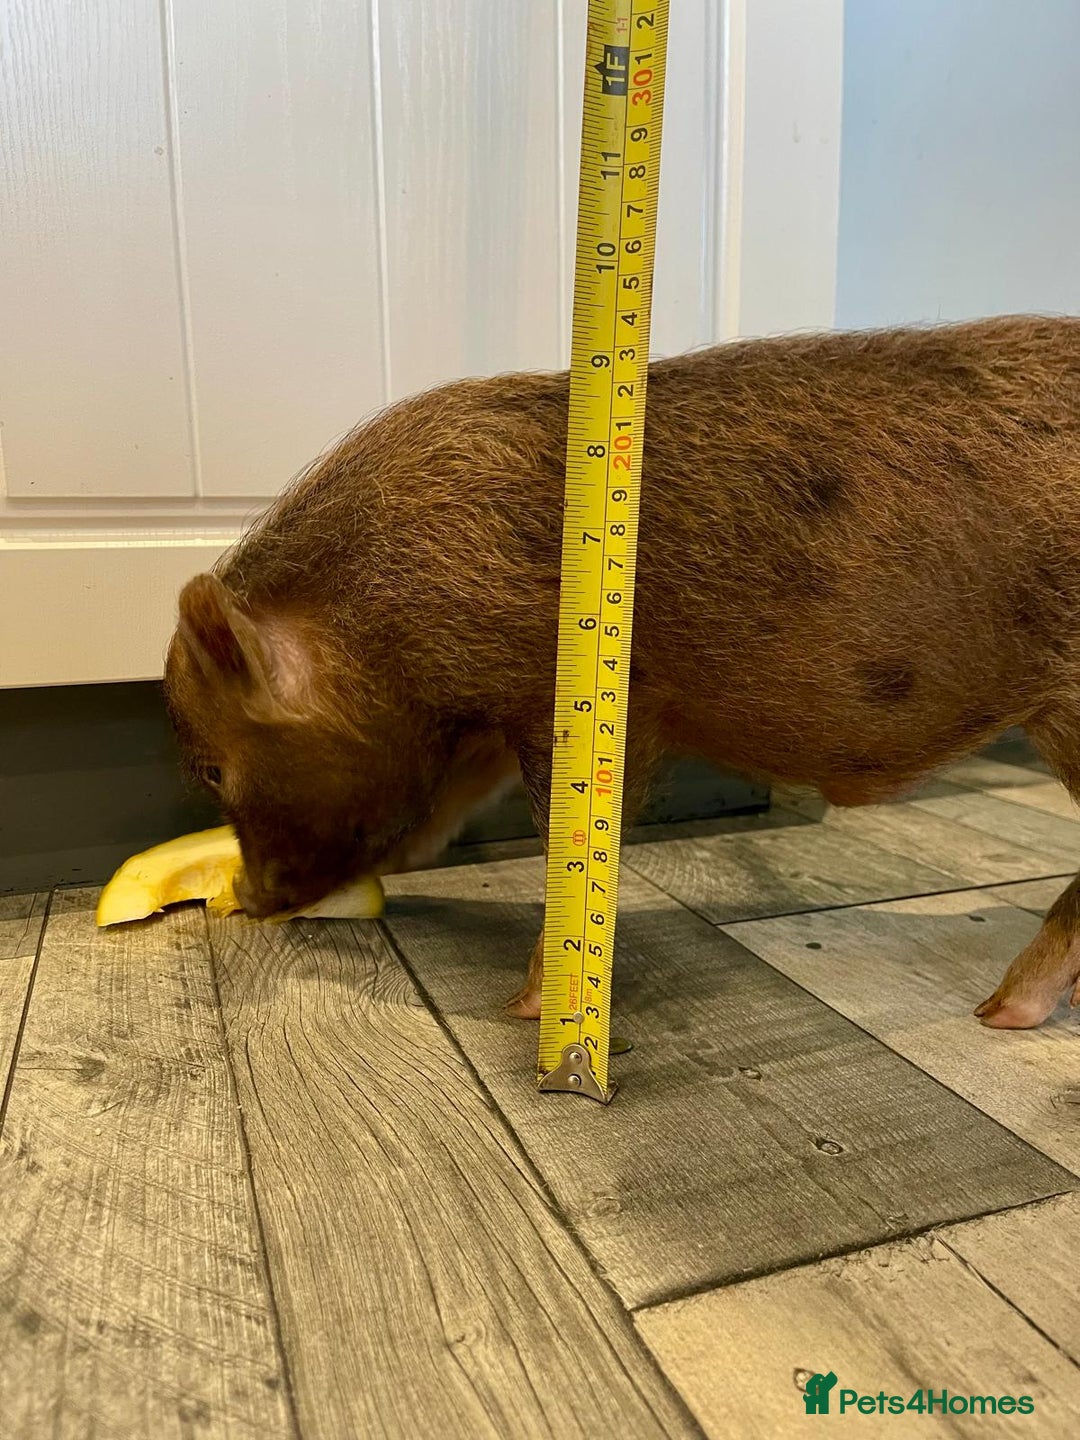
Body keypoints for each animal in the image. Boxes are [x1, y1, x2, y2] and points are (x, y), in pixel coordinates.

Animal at [164, 314, 1080, 1030]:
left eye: (213, 770)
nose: (244, 894)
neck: (384, 608)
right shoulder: (485, 719)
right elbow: (446, 808)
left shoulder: (554, 699)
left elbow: (560, 837)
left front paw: (525, 1010)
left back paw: (999, 1013)